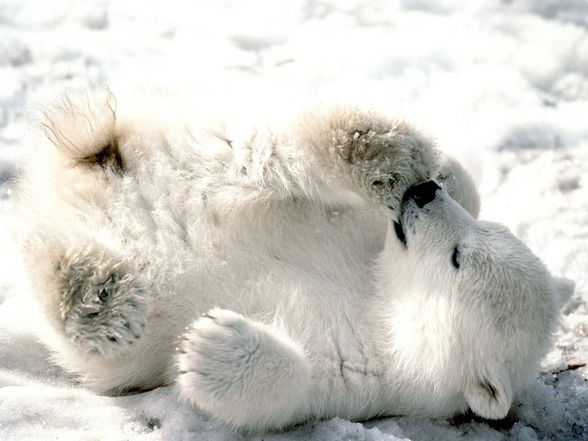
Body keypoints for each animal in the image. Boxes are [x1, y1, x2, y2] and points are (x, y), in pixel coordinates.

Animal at [11, 88, 572, 430]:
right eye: (484, 233)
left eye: (458, 258)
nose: (423, 194)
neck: (381, 296)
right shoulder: (364, 234)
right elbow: (462, 188)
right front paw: (438, 171)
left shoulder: (370, 375)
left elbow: (291, 389)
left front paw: (209, 346)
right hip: (202, 158)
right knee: (268, 154)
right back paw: (380, 149)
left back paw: (97, 298)